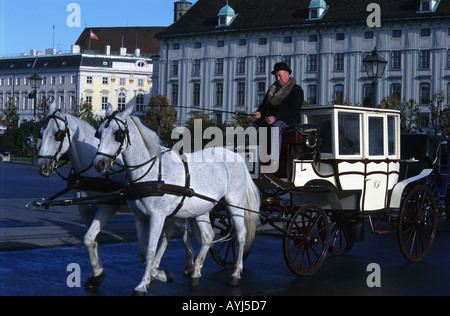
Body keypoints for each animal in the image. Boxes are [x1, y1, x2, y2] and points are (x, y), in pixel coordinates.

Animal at [37, 103, 195, 288]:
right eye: (41, 132)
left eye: (59, 134)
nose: (42, 166)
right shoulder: (84, 208)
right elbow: (91, 239)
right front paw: (97, 272)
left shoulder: (107, 206)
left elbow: (89, 238)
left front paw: (98, 273)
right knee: (172, 232)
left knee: (181, 230)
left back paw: (187, 265)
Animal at [94, 105, 260, 296]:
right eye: (98, 133)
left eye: (118, 134)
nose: (99, 163)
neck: (152, 171)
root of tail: (236, 155)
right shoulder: (140, 216)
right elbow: (142, 251)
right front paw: (162, 275)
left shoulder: (157, 216)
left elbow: (150, 250)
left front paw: (142, 285)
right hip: (201, 209)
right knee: (208, 237)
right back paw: (196, 273)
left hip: (235, 205)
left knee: (240, 235)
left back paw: (236, 273)